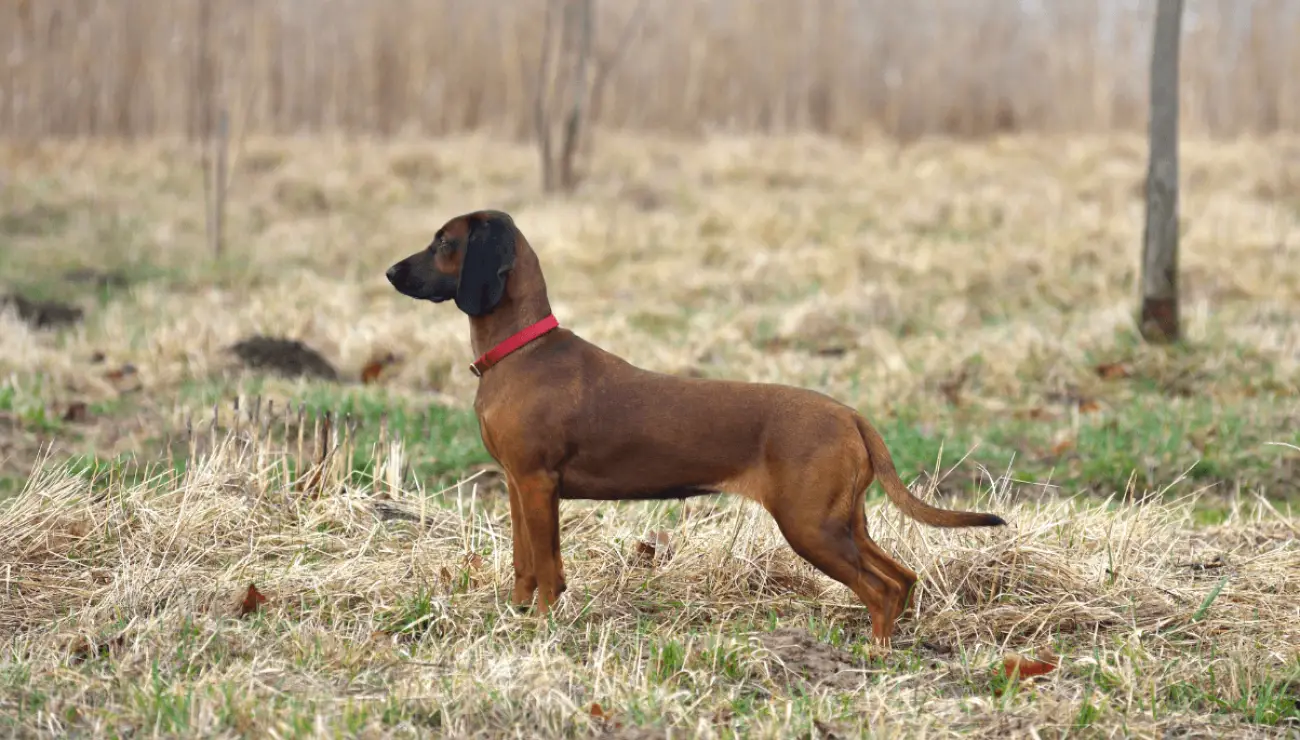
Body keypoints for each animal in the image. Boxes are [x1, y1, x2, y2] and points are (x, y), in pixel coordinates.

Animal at [384, 209, 1003, 645]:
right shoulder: (517, 486)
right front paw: (517, 617)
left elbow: (548, 568)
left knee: (880, 589)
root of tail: (849, 414)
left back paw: (873, 655)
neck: (520, 352)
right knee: (901, 579)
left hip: (810, 527)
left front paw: (541, 628)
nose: (390, 271)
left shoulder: (538, 485)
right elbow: (524, 564)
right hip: (843, 522)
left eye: (445, 243)